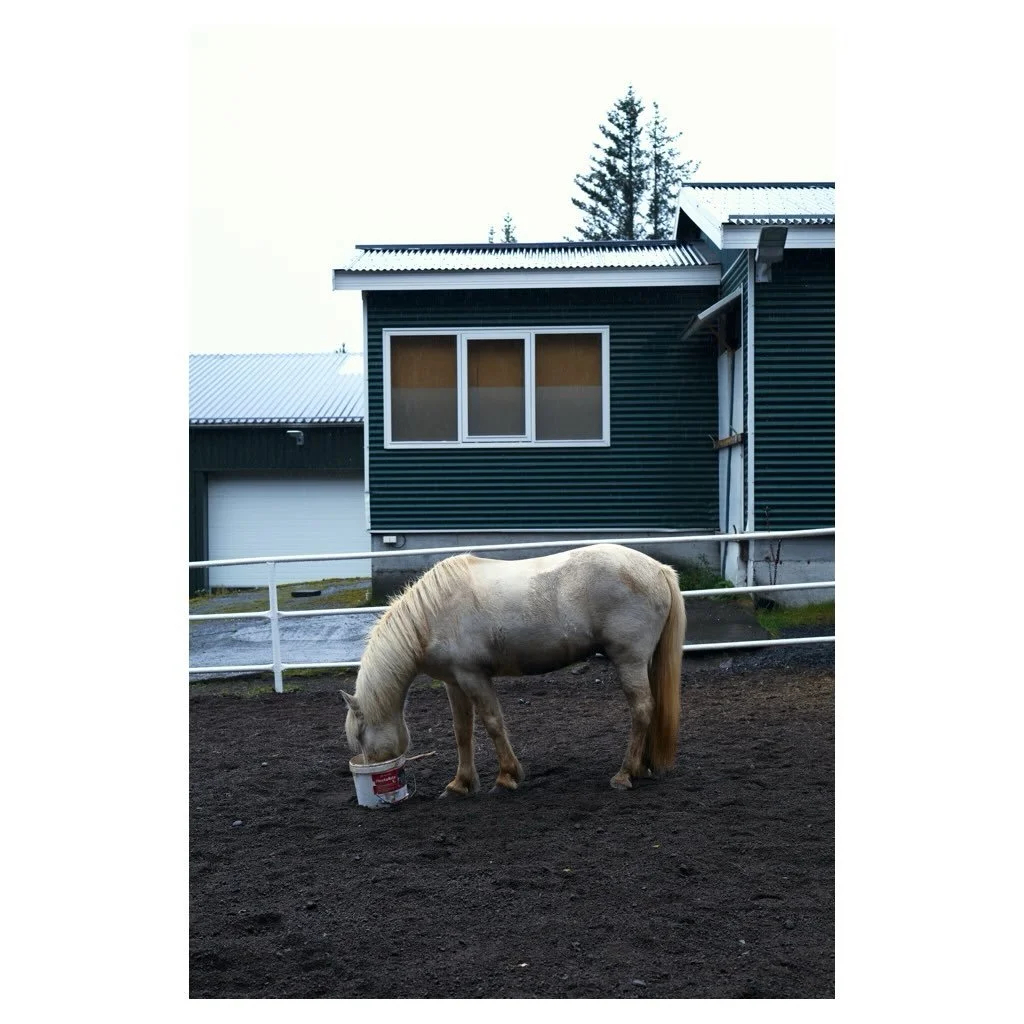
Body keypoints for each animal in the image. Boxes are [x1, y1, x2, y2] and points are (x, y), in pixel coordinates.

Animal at [342, 542, 685, 795]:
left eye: (359, 735)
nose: (367, 768)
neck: (430, 615)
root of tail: (658, 569)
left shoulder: (473, 677)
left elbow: (493, 723)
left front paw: (507, 777)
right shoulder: (454, 682)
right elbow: (462, 731)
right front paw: (460, 784)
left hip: (630, 661)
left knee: (642, 709)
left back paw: (624, 774)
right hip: (643, 663)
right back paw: (642, 767)